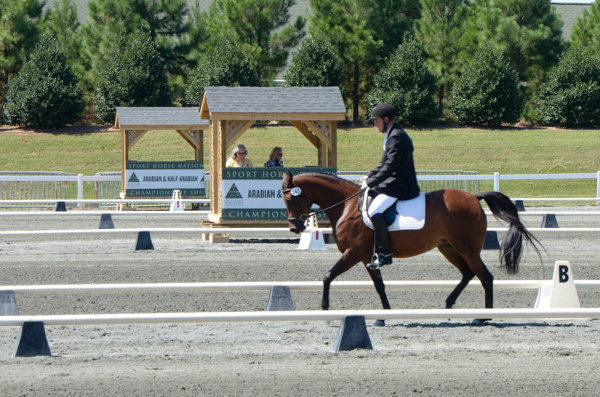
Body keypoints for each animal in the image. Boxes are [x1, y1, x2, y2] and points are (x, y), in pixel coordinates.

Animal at [282, 172, 540, 320]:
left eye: (290, 198)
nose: (295, 228)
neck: (347, 207)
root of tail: (474, 197)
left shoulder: (353, 253)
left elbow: (327, 276)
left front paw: (325, 308)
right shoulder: (366, 258)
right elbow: (379, 286)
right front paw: (385, 314)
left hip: (467, 248)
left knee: (485, 276)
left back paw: (485, 316)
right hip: (448, 247)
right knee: (468, 273)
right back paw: (449, 304)